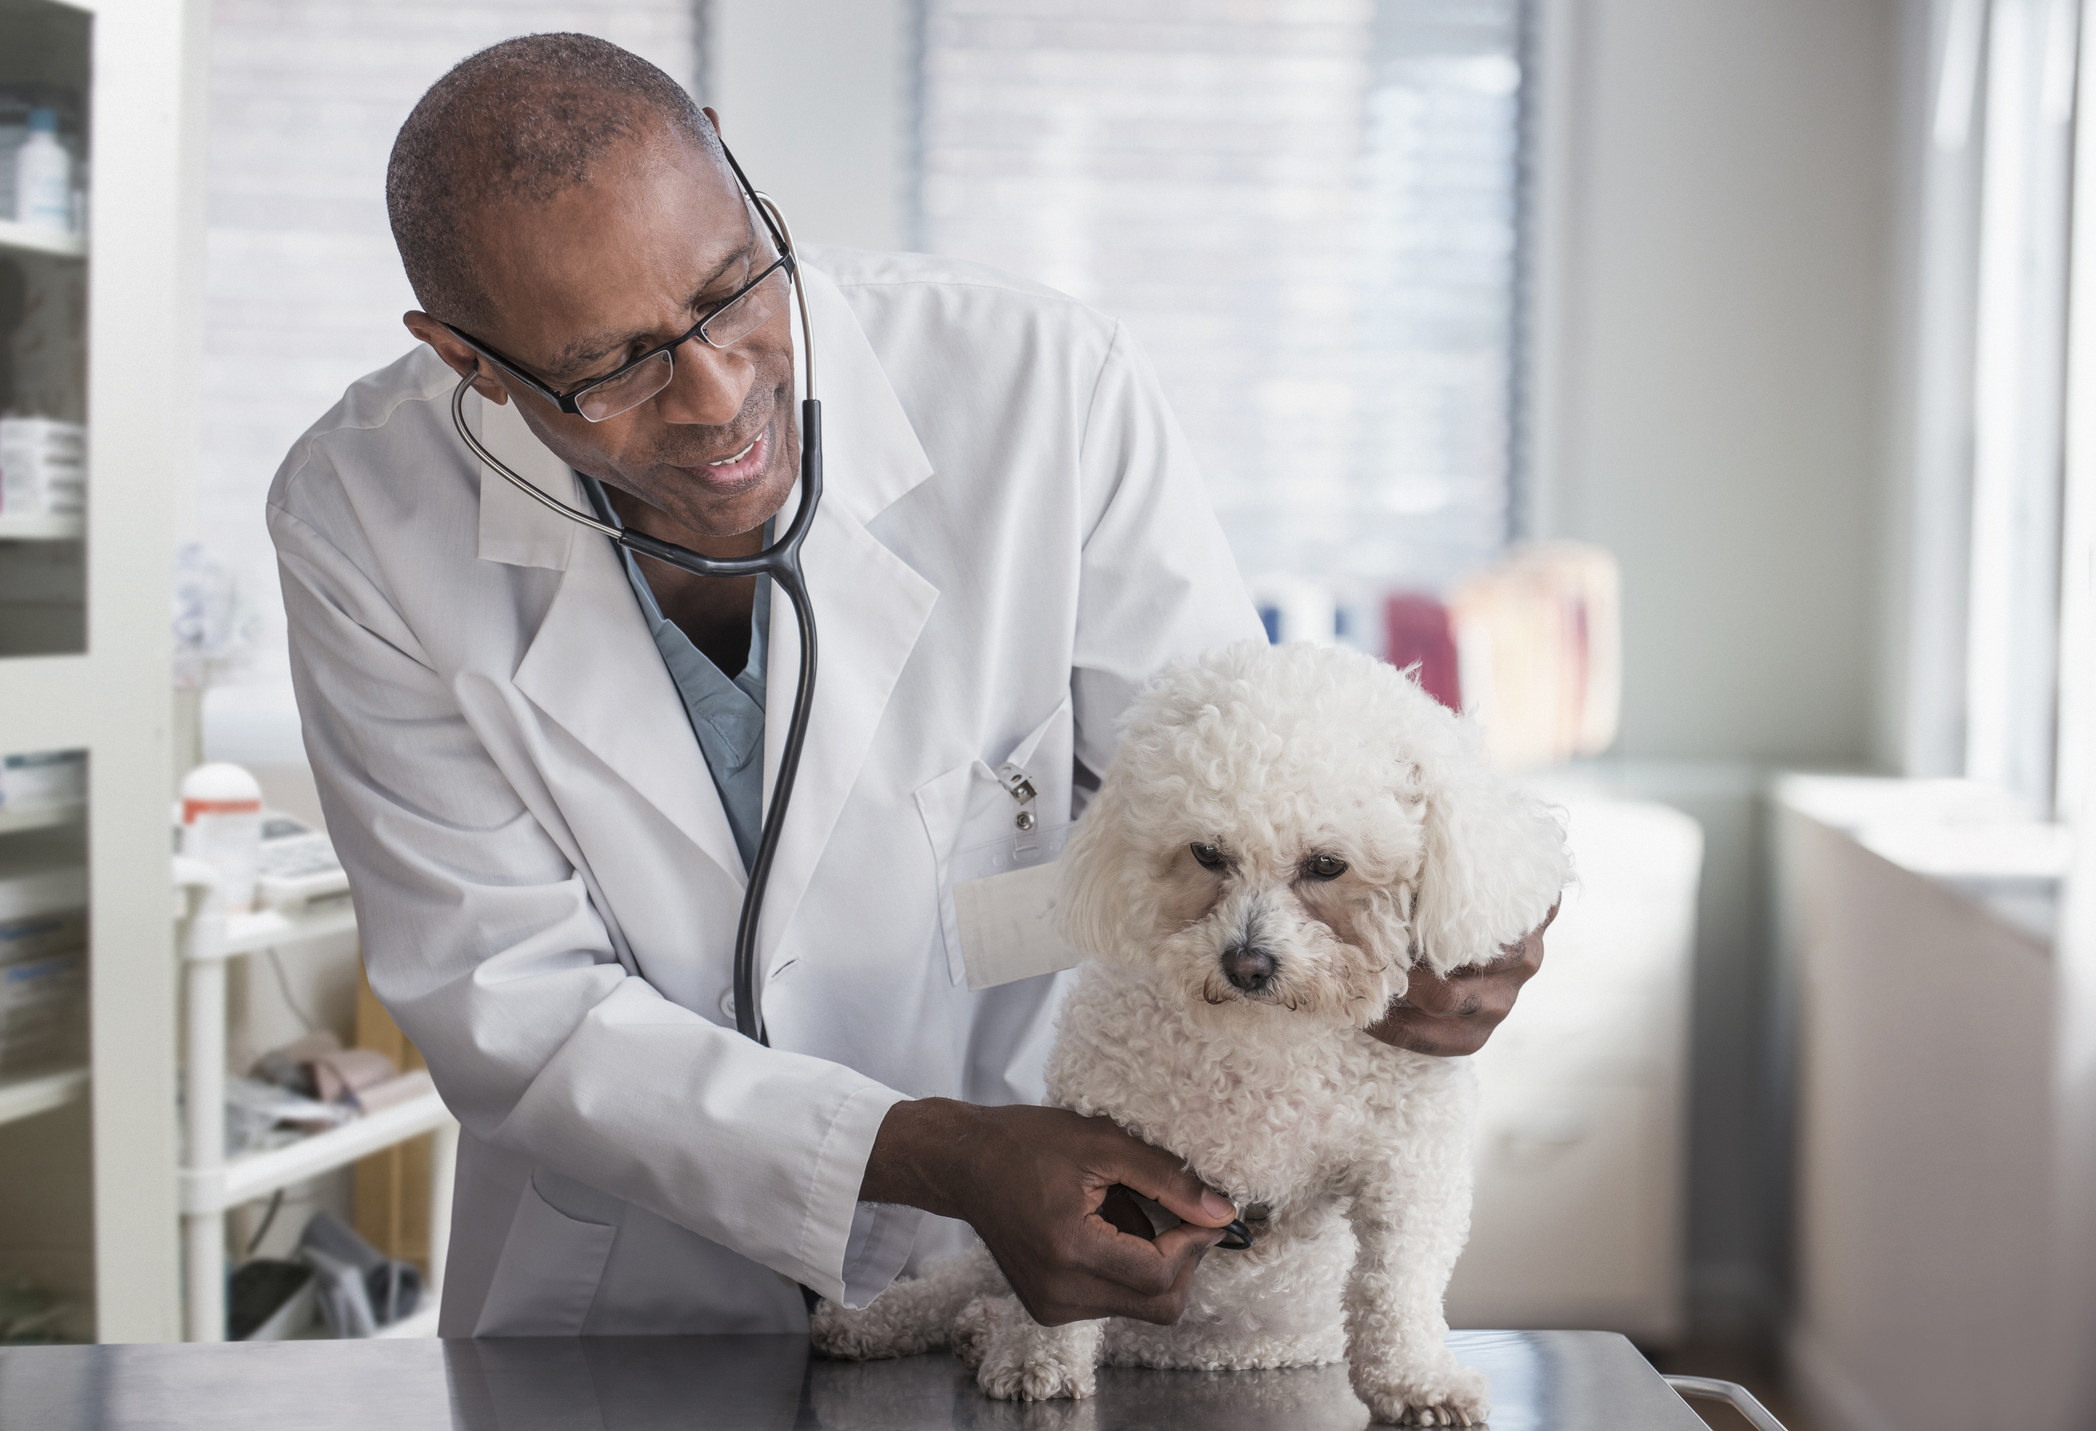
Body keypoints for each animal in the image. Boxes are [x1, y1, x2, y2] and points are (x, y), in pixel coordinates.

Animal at [817, 645, 1576, 1424]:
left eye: (1326, 865)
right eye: (1208, 854)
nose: (1247, 963)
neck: (1267, 1037)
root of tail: (1182, 1350)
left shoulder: (1411, 1167)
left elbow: (1400, 1281)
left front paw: (1416, 1379)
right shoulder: (1096, 1158)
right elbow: (1056, 1292)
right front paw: (1037, 1359)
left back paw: (975, 1328)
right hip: (991, 1255)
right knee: (957, 1281)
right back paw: (891, 1322)